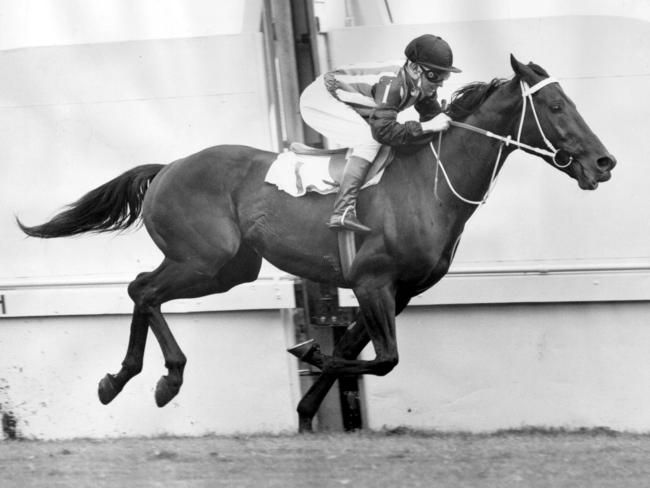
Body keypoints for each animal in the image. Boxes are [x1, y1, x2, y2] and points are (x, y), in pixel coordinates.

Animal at [15, 55, 612, 432]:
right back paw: (152, 379)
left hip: (229, 270)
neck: (431, 183)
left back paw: (128, 380)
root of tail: (168, 168)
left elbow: (351, 351)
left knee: (145, 290)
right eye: (556, 107)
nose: (604, 163)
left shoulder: (399, 292)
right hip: (202, 259)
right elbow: (383, 360)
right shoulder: (372, 282)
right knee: (142, 289)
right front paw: (306, 352)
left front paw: (306, 411)